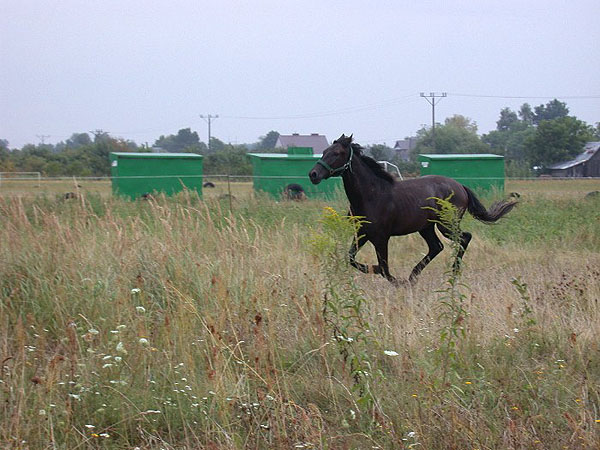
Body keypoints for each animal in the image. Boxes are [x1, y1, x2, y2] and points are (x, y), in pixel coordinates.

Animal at [310, 134, 516, 286]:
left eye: (337, 153)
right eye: (324, 151)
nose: (313, 174)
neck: (371, 194)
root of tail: (460, 186)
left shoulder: (381, 237)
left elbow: (384, 268)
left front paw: (391, 278)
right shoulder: (362, 233)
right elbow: (352, 258)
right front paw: (375, 269)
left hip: (446, 225)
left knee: (464, 238)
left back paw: (453, 273)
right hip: (426, 227)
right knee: (436, 247)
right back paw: (413, 276)